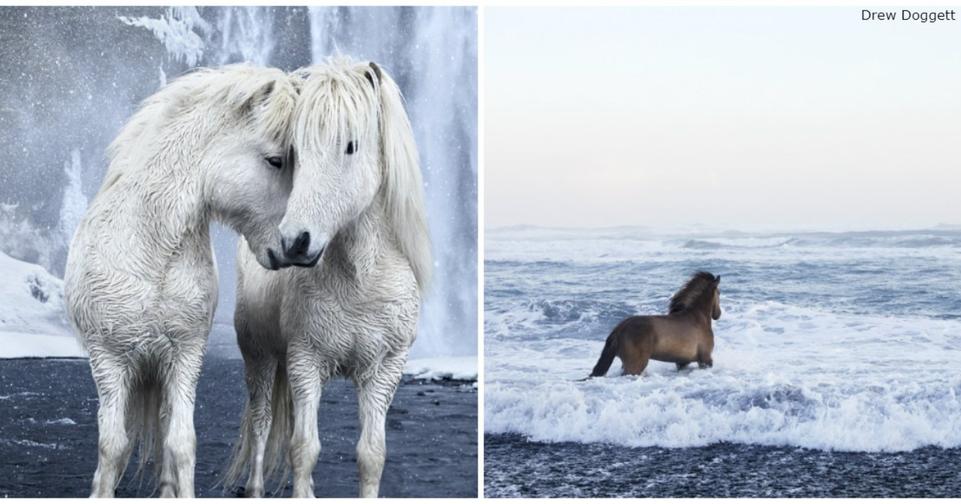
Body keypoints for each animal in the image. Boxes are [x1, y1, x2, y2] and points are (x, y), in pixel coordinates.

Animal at [63, 65, 298, 498]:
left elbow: (181, 442)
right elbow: (112, 445)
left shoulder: (185, 357)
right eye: (275, 160)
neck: (150, 252)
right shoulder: (108, 360)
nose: (296, 245)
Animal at [225, 58, 428, 496]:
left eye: (351, 145)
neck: (360, 282)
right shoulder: (305, 362)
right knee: (262, 423)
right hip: (260, 357)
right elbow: (304, 449)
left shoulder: (384, 372)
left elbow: (371, 456)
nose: (294, 241)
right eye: (296, 151)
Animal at [584, 272, 720, 378]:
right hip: (635, 365)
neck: (697, 318)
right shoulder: (705, 359)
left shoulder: (682, 362)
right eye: (718, 293)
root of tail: (618, 330)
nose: (718, 314)